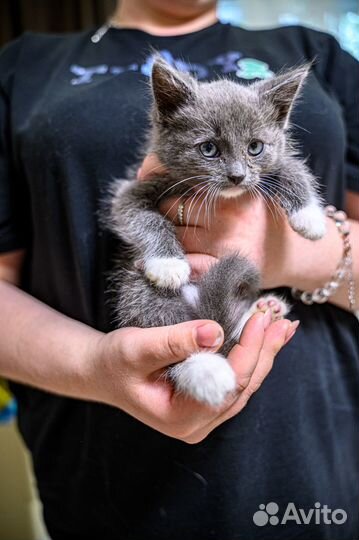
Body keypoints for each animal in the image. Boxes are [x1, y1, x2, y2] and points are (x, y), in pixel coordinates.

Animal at [107, 57, 326, 408]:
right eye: (208, 149)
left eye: (255, 147)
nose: (237, 176)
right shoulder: (133, 187)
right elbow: (140, 216)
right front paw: (168, 263)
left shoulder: (274, 159)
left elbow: (292, 166)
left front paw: (310, 217)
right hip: (136, 286)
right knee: (172, 330)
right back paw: (206, 370)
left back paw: (264, 309)